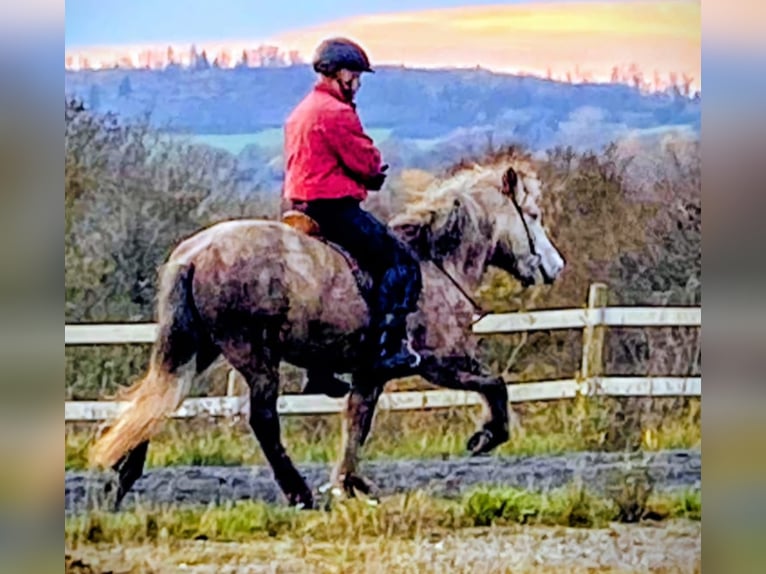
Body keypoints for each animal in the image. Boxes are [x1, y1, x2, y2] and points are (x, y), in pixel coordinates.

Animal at [88, 149, 566, 510]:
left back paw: (123, 480)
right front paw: (486, 436)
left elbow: (357, 423)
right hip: (252, 354)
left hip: (198, 348)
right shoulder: (441, 364)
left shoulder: (371, 374)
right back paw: (297, 493)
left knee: (157, 401)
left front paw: (349, 482)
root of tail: (195, 253)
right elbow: (496, 385)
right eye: (533, 214)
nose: (555, 266)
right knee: (262, 420)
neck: (434, 263)